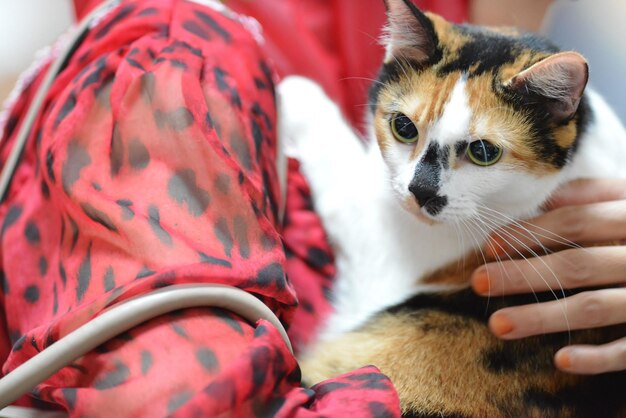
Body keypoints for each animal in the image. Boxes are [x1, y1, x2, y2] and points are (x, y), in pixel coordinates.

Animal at [276, 0, 624, 416]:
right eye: (404, 127)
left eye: (484, 152)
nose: (420, 191)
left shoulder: (384, 255)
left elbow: (345, 177)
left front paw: (297, 93)